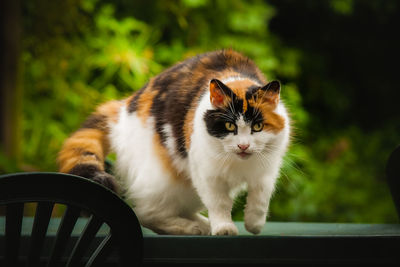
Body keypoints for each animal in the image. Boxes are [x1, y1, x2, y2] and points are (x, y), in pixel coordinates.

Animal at [57, 49, 290, 236]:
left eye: (257, 127)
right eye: (229, 126)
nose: (243, 146)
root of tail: (123, 107)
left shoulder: (267, 172)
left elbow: (260, 200)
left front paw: (254, 224)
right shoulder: (207, 174)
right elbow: (219, 203)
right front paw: (224, 228)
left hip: (187, 189)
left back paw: (202, 224)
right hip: (165, 180)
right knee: (145, 213)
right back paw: (193, 227)